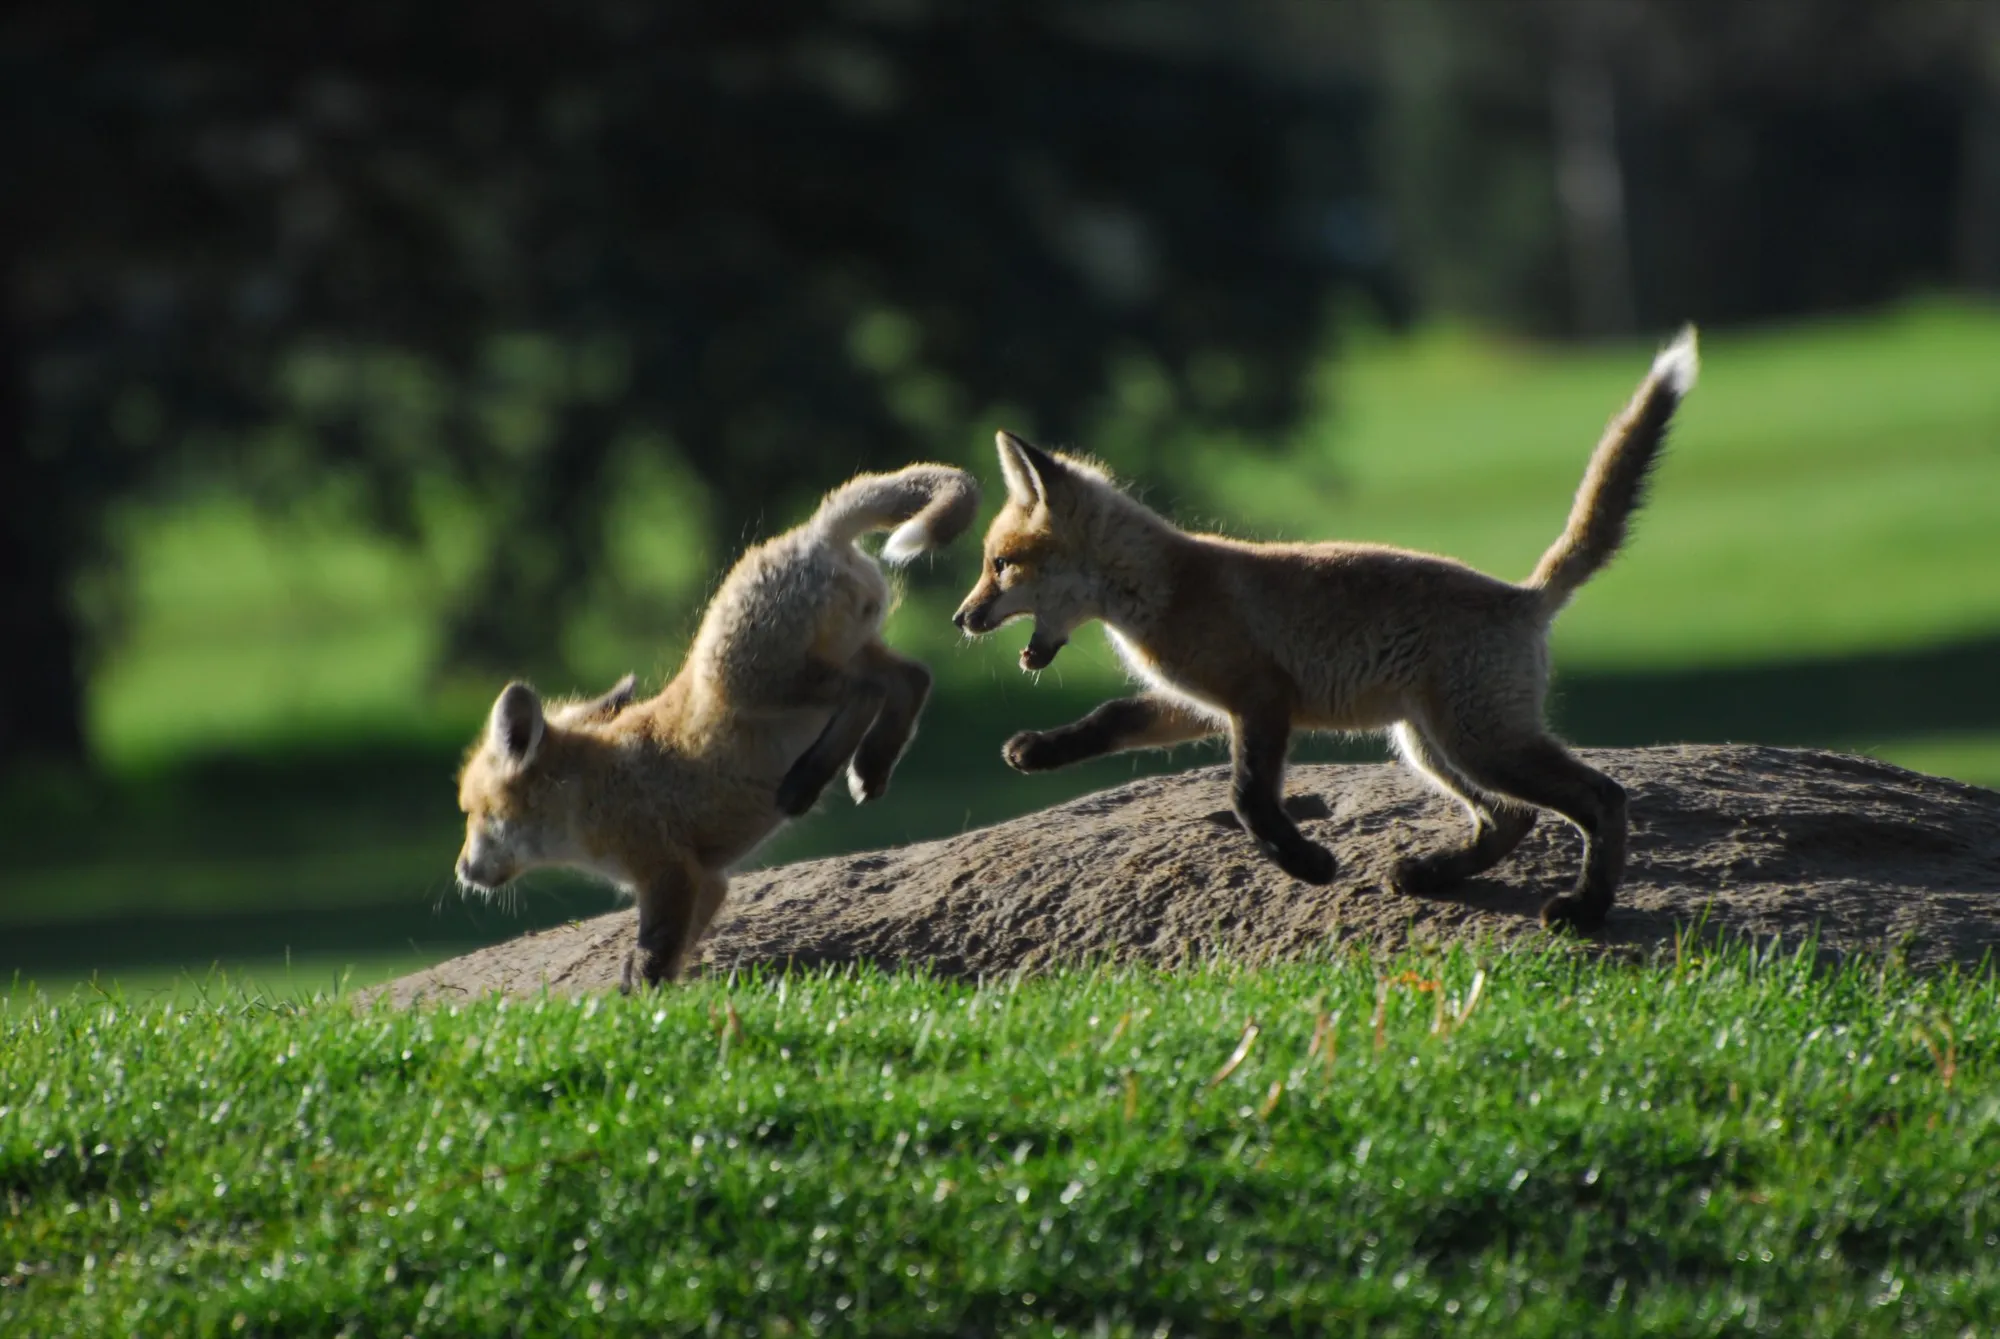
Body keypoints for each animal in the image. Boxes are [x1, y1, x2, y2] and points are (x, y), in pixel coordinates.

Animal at [455, 463, 979, 988]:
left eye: (473, 813)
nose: (461, 871)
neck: (590, 790)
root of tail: (811, 532)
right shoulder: (708, 881)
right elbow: (672, 952)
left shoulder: (668, 873)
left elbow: (651, 956)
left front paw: (638, 1002)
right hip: (848, 654)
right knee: (912, 678)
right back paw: (871, 764)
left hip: (753, 682)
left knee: (866, 692)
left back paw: (808, 780)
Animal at [952, 329, 1697, 932]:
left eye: (999, 565)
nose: (961, 618)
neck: (1163, 588)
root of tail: (1523, 596)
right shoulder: (1197, 702)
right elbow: (1109, 719)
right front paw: (1037, 751)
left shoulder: (1260, 697)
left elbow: (1249, 799)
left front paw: (1306, 863)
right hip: (1431, 746)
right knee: (1511, 816)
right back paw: (1433, 875)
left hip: (1481, 742)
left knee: (1602, 796)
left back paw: (1585, 910)